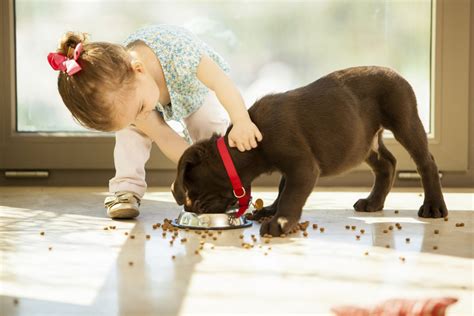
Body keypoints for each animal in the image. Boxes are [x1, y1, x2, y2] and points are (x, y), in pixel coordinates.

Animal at [171, 66, 448, 237]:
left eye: (192, 190)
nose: (190, 207)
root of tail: (395, 72)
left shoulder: (302, 166)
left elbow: (291, 194)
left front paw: (279, 222)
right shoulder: (291, 167)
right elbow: (283, 188)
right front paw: (271, 210)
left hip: (404, 120)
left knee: (426, 162)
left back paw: (433, 206)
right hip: (363, 141)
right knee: (386, 163)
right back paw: (373, 202)